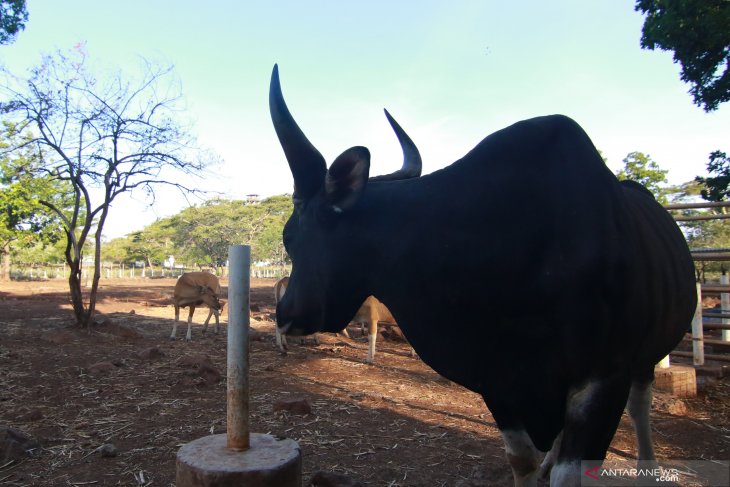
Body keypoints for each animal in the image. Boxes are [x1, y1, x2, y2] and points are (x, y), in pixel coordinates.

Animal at [268, 66, 692, 487]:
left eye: (290, 235)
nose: (285, 314)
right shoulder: (498, 380)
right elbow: (522, 460)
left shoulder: (604, 377)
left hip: (646, 358)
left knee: (640, 405)